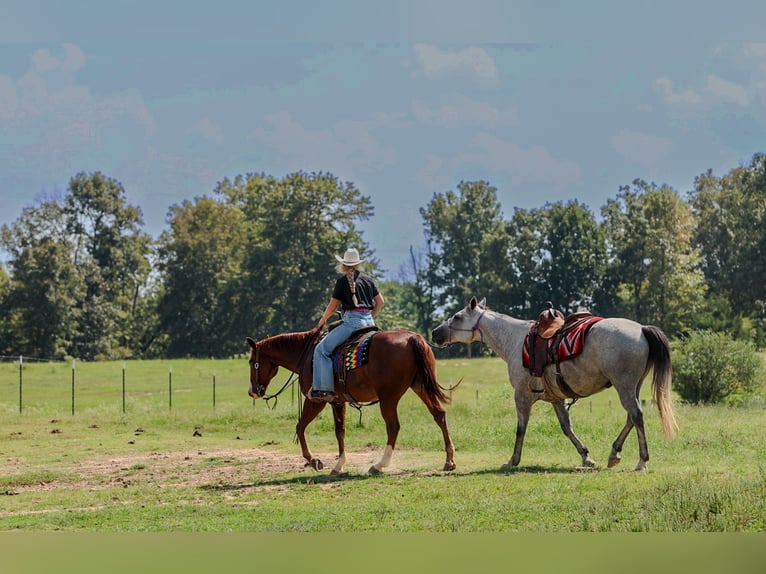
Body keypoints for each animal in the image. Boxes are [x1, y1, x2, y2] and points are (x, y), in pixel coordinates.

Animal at [246, 327, 456, 475]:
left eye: (250, 362)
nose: (252, 392)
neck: (306, 354)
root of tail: (412, 338)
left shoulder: (316, 400)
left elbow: (300, 426)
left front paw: (314, 460)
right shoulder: (338, 402)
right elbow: (340, 431)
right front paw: (338, 464)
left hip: (388, 398)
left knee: (393, 426)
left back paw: (379, 465)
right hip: (420, 386)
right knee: (439, 415)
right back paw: (449, 461)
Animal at [431, 297, 678, 471]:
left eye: (457, 316)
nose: (435, 333)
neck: (514, 339)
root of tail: (642, 329)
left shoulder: (522, 396)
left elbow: (520, 429)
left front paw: (512, 460)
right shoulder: (557, 398)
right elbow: (567, 428)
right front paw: (586, 456)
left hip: (624, 386)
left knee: (636, 415)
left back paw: (642, 461)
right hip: (632, 386)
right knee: (631, 417)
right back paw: (614, 453)